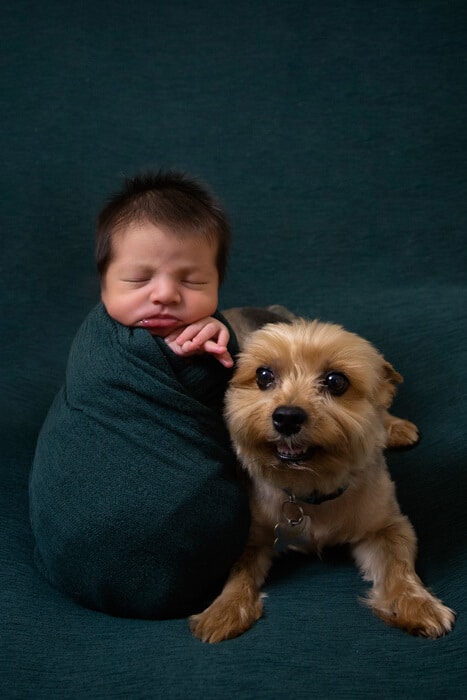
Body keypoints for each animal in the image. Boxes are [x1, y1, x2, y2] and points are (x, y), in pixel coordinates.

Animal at [189, 314, 454, 644]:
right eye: (263, 375)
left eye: (336, 381)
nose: (287, 417)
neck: (311, 487)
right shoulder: (253, 534)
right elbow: (239, 569)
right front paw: (223, 609)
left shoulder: (387, 526)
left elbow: (398, 564)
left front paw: (418, 605)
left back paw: (394, 427)